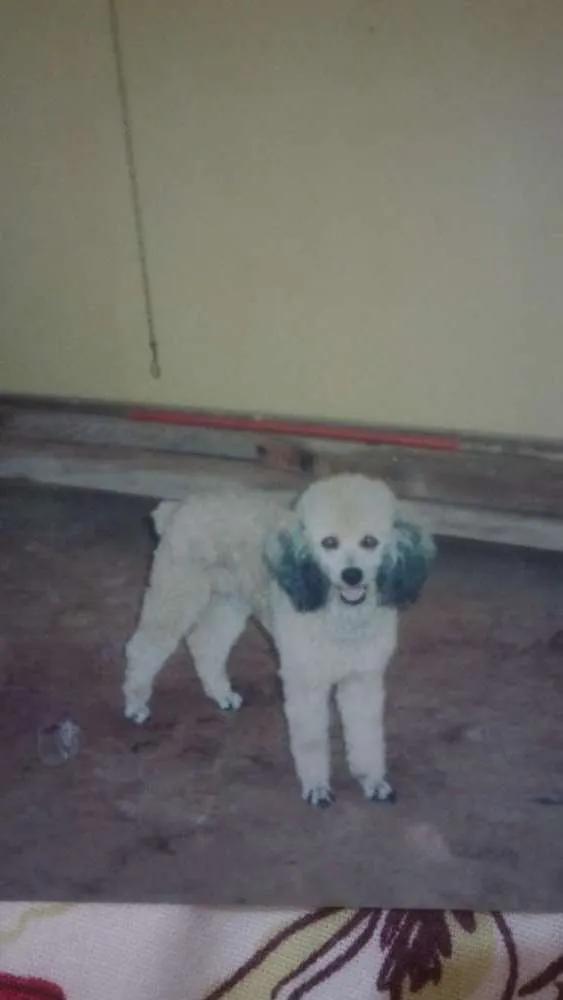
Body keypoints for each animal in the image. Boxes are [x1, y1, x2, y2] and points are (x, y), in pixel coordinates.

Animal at [122, 472, 436, 808]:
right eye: (329, 543)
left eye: (369, 541)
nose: (351, 575)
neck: (340, 616)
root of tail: (178, 509)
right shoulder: (306, 683)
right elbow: (311, 741)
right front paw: (316, 787)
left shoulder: (362, 680)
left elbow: (366, 737)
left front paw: (372, 781)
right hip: (175, 597)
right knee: (142, 649)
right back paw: (135, 704)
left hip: (230, 603)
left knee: (205, 644)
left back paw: (221, 694)